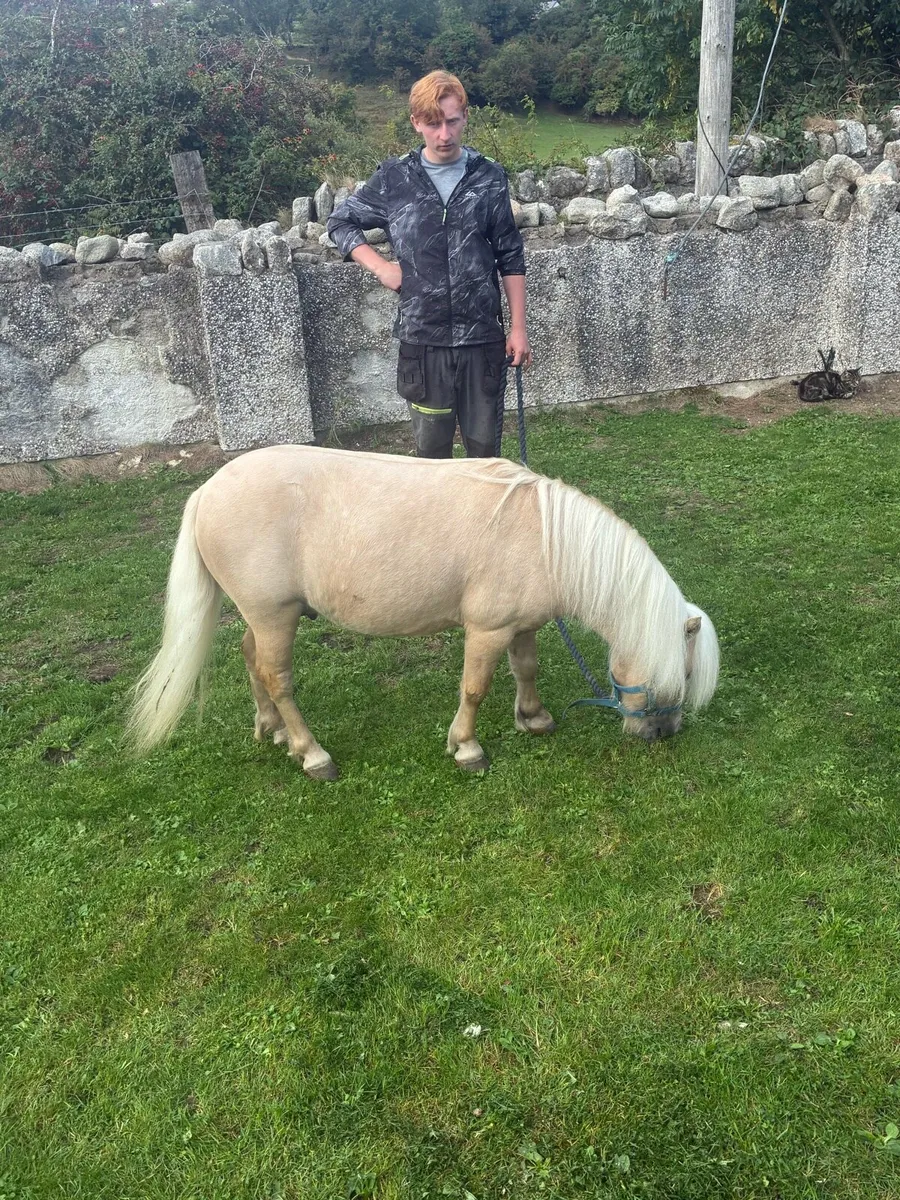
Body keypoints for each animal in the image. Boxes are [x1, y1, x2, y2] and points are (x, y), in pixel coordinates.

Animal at [128, 445, 719, 780]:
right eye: (684, 673)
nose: (663, 734)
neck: (545, 536)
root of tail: (206, 492)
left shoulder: (520, 625)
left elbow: (525, 668)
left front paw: (534, 718)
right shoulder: (487, 630)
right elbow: (475, 689)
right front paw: (467, 748)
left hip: (264, 616)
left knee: (251, 658)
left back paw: (270, 729)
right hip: (275, 616)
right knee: (276, 676)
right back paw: (310, 752)